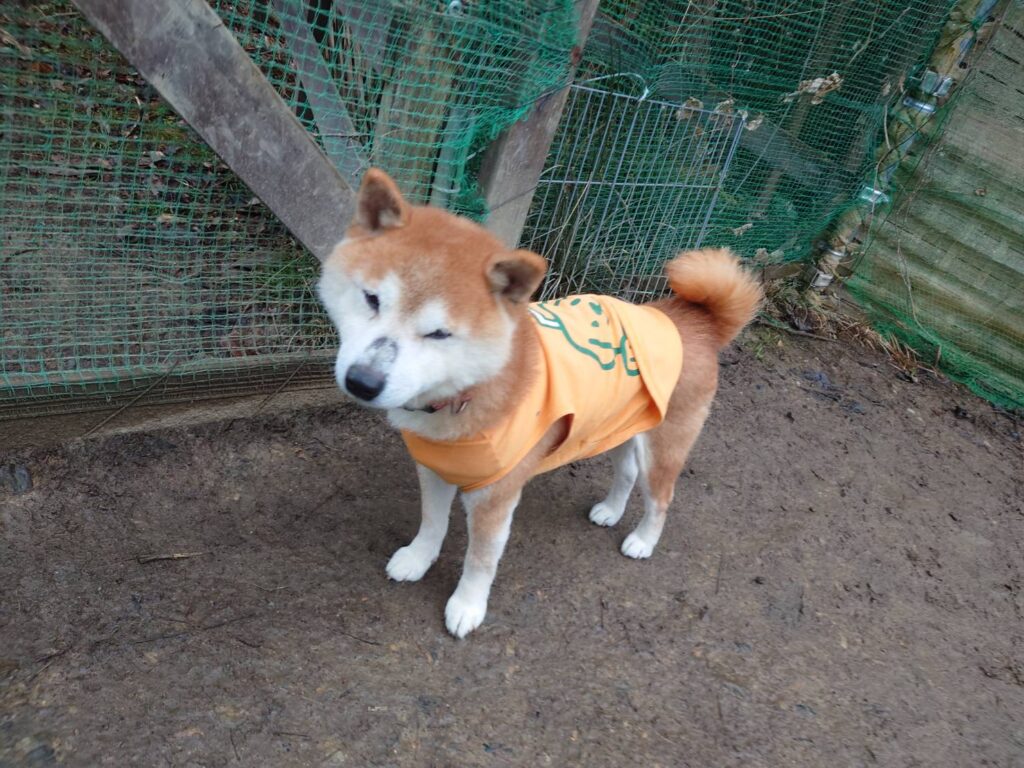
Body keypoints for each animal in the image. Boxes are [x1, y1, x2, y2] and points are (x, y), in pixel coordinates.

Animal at [318, 168, 763, 638]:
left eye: (439, 334)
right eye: (371, 299)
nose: (362, 381)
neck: (465, 394)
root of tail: (690, 320)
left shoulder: (496, 497)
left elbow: (480, 561)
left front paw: (467, 606)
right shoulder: (435, 469)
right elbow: (432, 523)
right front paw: (418, 559)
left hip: (663, 447)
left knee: (661, 498)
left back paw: (642, 540)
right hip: (622, 429)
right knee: (626, 473)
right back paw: (610, 510)